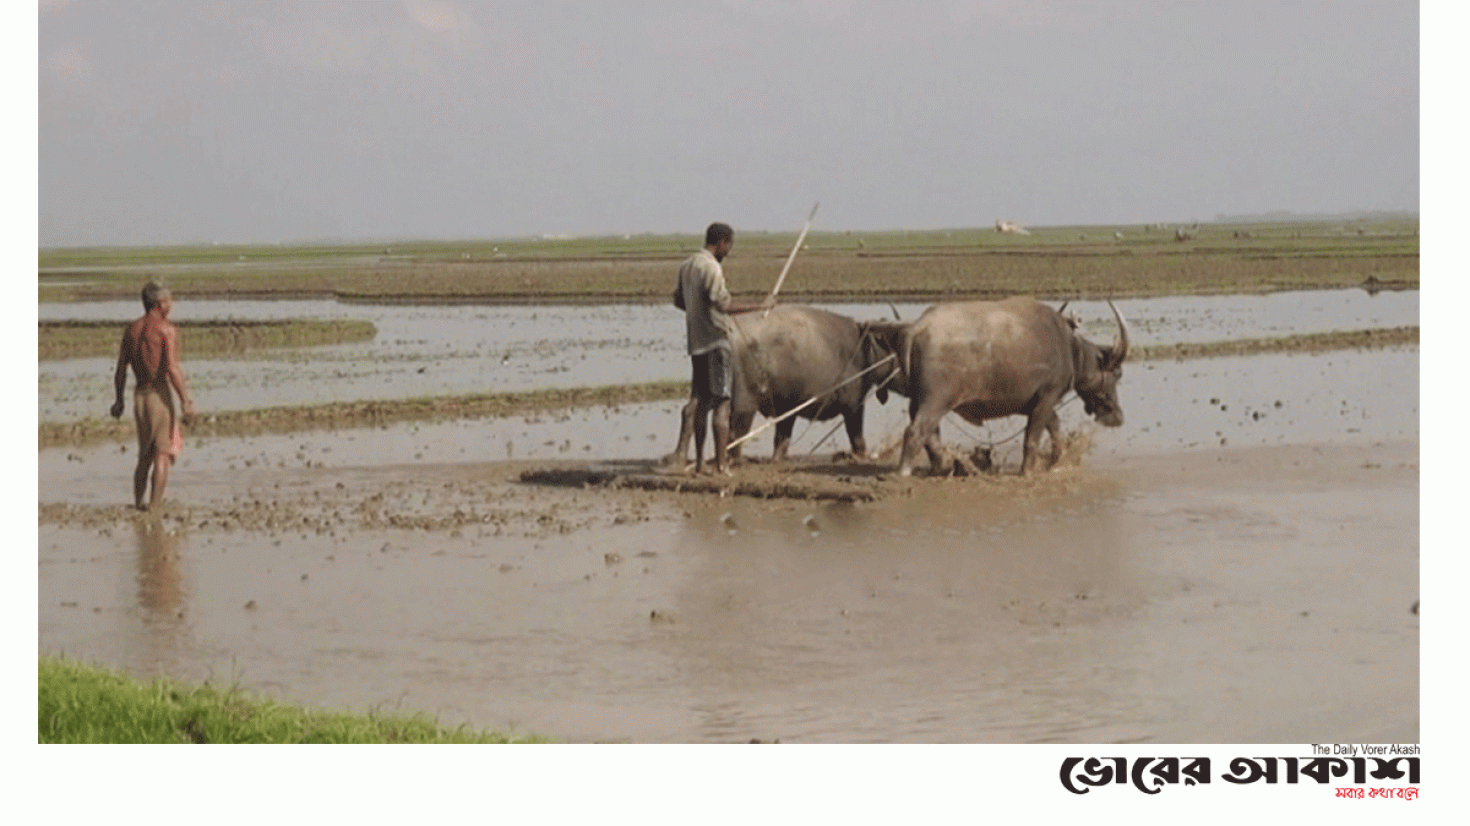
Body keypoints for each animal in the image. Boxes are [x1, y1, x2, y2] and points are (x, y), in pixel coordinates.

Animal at [887, 295, 1128, 476]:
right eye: (1117, 374)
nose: (1118, 417)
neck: (1069, 350)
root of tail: (919, 327)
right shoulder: (1046, 398)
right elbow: (1032, 439)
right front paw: (1027, 472)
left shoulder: (1035, 405)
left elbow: (1055, 430)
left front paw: (1054, 462)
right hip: (936, 401)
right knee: (915, 432)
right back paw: (903, 472)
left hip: (918, 401)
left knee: (930, 436)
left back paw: (941, 467)